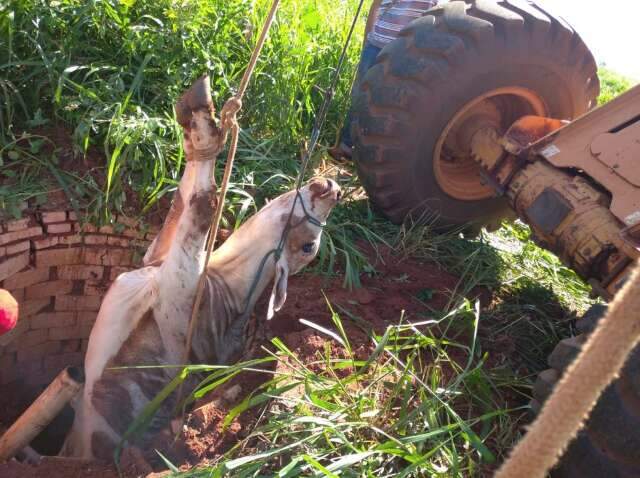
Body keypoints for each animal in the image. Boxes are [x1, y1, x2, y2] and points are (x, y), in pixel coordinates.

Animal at [60, 77, 340, 460]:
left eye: (308, 247)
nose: (335, 188)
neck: (224, 278)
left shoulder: (179, 289)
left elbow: (203, 203)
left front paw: (205, 130)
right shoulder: (157, 257)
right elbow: (180, 200)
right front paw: (199, 120)